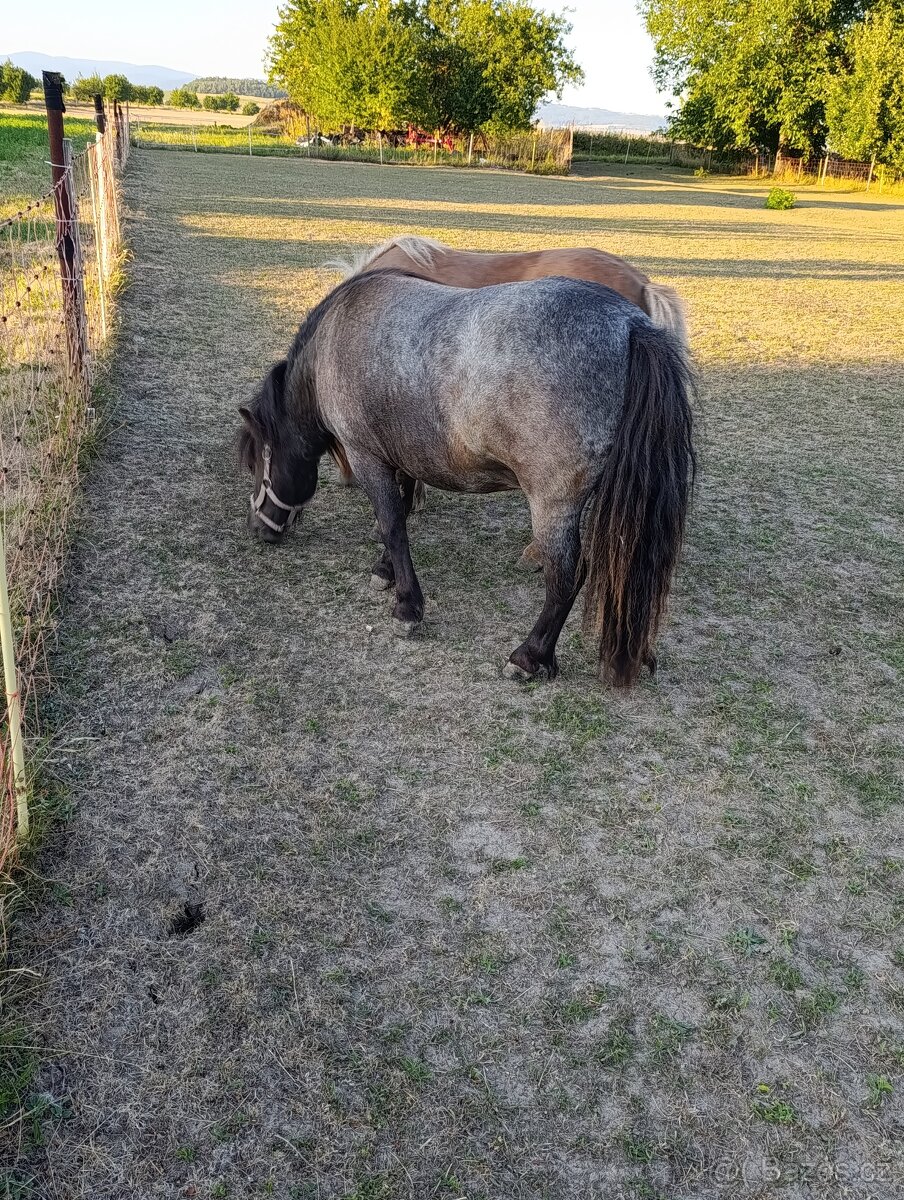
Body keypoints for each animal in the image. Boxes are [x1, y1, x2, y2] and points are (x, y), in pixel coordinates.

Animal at [239, 270, 696, 688]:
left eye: (258, 464)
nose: (257, 529)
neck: (334, 339)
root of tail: (631, 326)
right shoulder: (402, 454)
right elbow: (399, 514)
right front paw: (386, 571)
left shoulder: (367, 456)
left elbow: (392, 524)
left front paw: (407, 606)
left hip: (554, 503)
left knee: (567, 574)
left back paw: (530, 656)